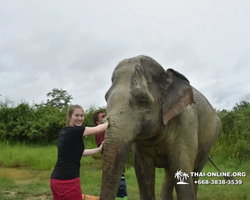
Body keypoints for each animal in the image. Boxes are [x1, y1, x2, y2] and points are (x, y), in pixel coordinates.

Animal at [99, 55, 221, 200]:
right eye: (106, 98)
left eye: (142, 102)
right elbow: (143, 173)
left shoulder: (185, 125)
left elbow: (183, 174)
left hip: (209, 141)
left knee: (195, 171)